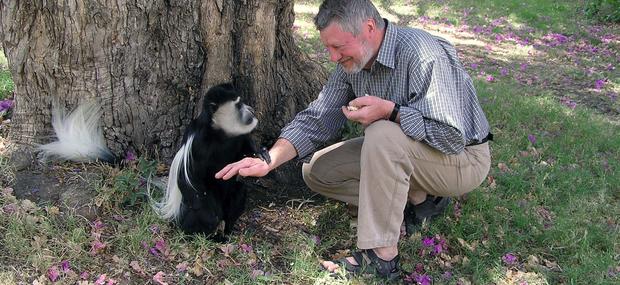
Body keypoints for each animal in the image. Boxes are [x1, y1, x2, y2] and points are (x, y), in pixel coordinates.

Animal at [151, 82, 268, 240]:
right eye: (239, 105)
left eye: (242, 102)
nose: (251, 109)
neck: (220, 133)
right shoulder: (197, 142)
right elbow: (186, 178)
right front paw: (209, 219)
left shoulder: (239, 137)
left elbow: (244, 152)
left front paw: (260, 154)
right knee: (195, 207)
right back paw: (199, 234)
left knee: (238, 192)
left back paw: (225, 233)